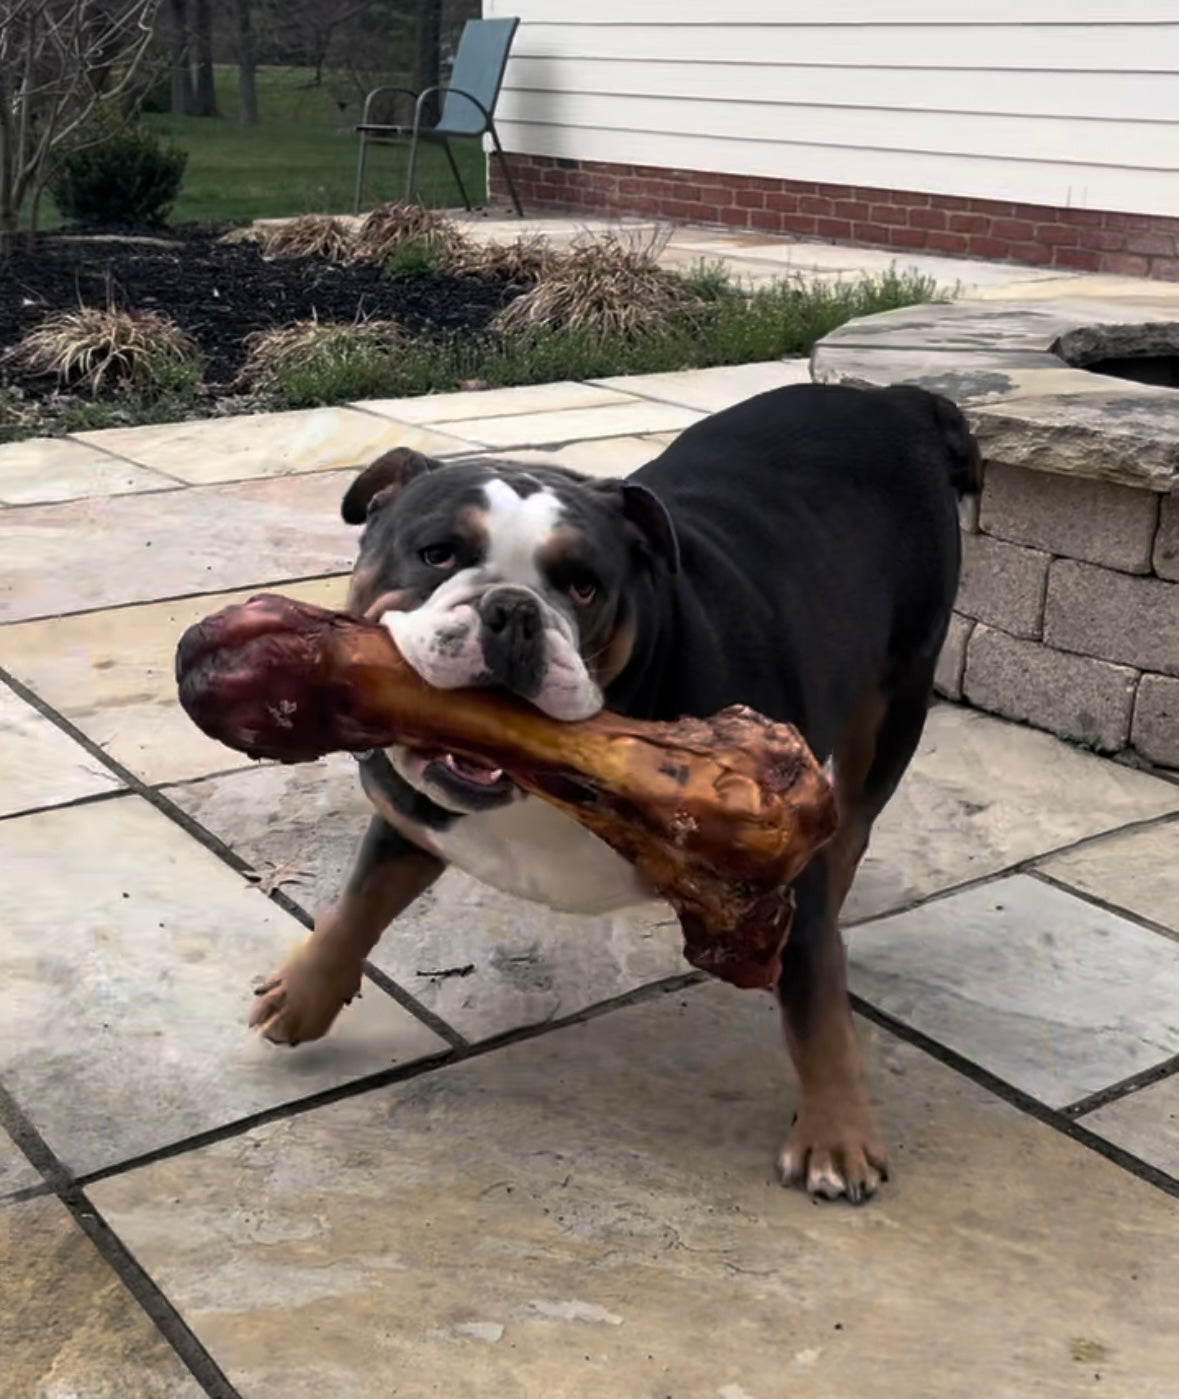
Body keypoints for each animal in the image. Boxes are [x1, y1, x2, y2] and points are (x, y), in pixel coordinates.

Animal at [248, 383, 979, 1203]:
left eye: (583, 585)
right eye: (437, 553)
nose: (512, 609)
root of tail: (900, 399)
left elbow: (818, 1007)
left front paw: (837, 1135)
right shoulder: (413, 809)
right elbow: (361, 898)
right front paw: (304, 991)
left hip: (895, 698)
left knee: (849, 831)